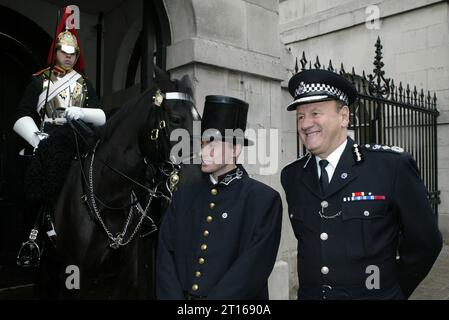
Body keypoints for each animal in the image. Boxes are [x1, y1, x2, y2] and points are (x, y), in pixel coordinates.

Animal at [36, 69, 200, 298]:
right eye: (176, 119)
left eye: (197, 119)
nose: (196, 176)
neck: (108, 198)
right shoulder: (75, 271)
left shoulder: (126, 274)